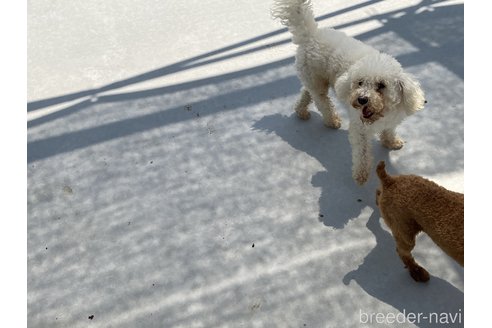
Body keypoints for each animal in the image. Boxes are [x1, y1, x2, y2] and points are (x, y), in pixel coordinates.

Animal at [270, 0, 424, 184]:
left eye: (381, 85)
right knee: (322, 101)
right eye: (359, 82)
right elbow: (362, 154)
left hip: (313, 79)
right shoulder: (359, 130)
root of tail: (311, 34)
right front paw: (361, 175)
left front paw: (391, 142)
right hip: (318, 82)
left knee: (307, 91)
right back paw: (332, 120)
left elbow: (389, 131)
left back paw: (301, 111)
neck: (380, 114)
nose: (362, 99)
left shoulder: (391, 121)